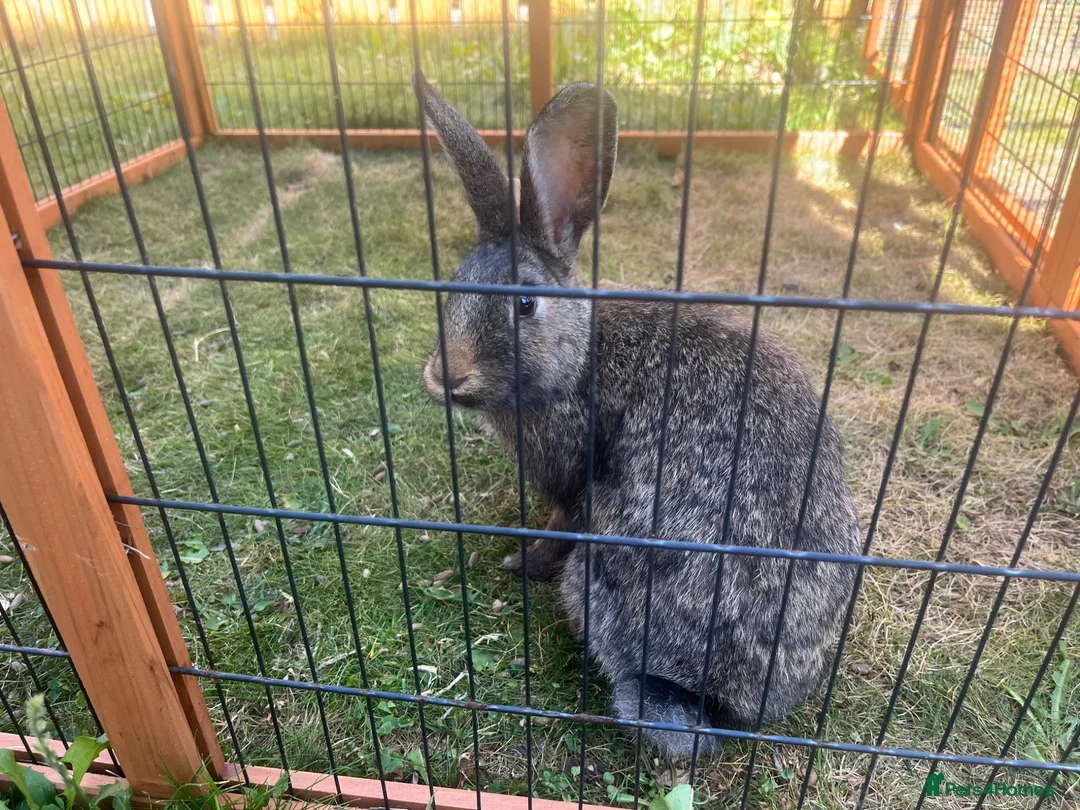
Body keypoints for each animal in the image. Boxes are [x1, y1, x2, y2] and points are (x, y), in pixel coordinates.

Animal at [415, 73, 860, 759]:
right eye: (452, 286)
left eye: (525, 303)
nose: (446, 376)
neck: (579, 354)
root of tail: (714, 698)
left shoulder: (573, 487)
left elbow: (558, 526)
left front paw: (521, 565)